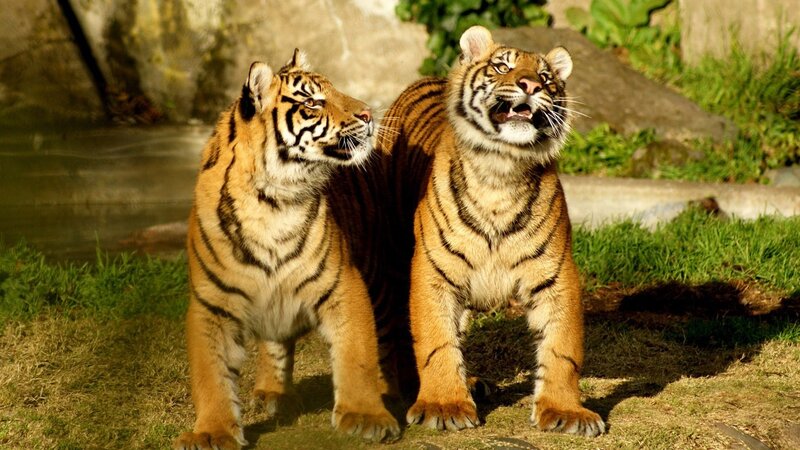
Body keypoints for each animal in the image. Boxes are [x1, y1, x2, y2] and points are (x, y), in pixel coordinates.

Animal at [174, 50, 400, 450]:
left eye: (334, 89)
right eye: (313, 103)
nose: (368, 115)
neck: (272, 201)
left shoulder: (345, 285)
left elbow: (357, 355)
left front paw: (365, 415)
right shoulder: (211, 303)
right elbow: (210, 375)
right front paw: (212, 432)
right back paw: (272, 393)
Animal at [374, 26, 606, 437]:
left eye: (546, 77)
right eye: (502, 66)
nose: (531, 85)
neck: (502, 169)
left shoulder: (557, 274)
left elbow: (562, 348)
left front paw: (565, 411)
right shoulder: (432, 273)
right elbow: (435, 341)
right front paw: (443, 405)